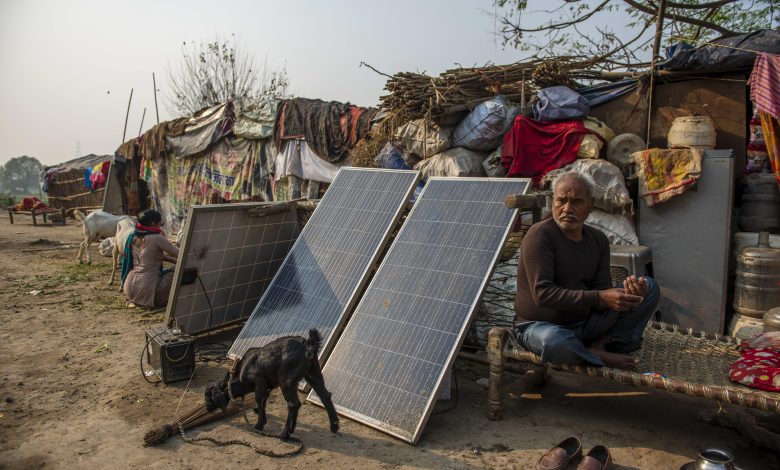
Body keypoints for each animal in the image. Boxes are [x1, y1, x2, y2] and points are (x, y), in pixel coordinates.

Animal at [206, 326, 340, 440]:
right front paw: (261, 416)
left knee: (293, 404)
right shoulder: (267, 386)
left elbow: (259, 400)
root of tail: (307, 344)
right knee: (325, 395)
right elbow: (263, 401)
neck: (240, 372)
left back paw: (285, 433)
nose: (207, 409)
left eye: (208, 396)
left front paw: (259, 425)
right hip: (313, 373)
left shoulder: (259, 382)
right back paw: (334, 425)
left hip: (286, 380)